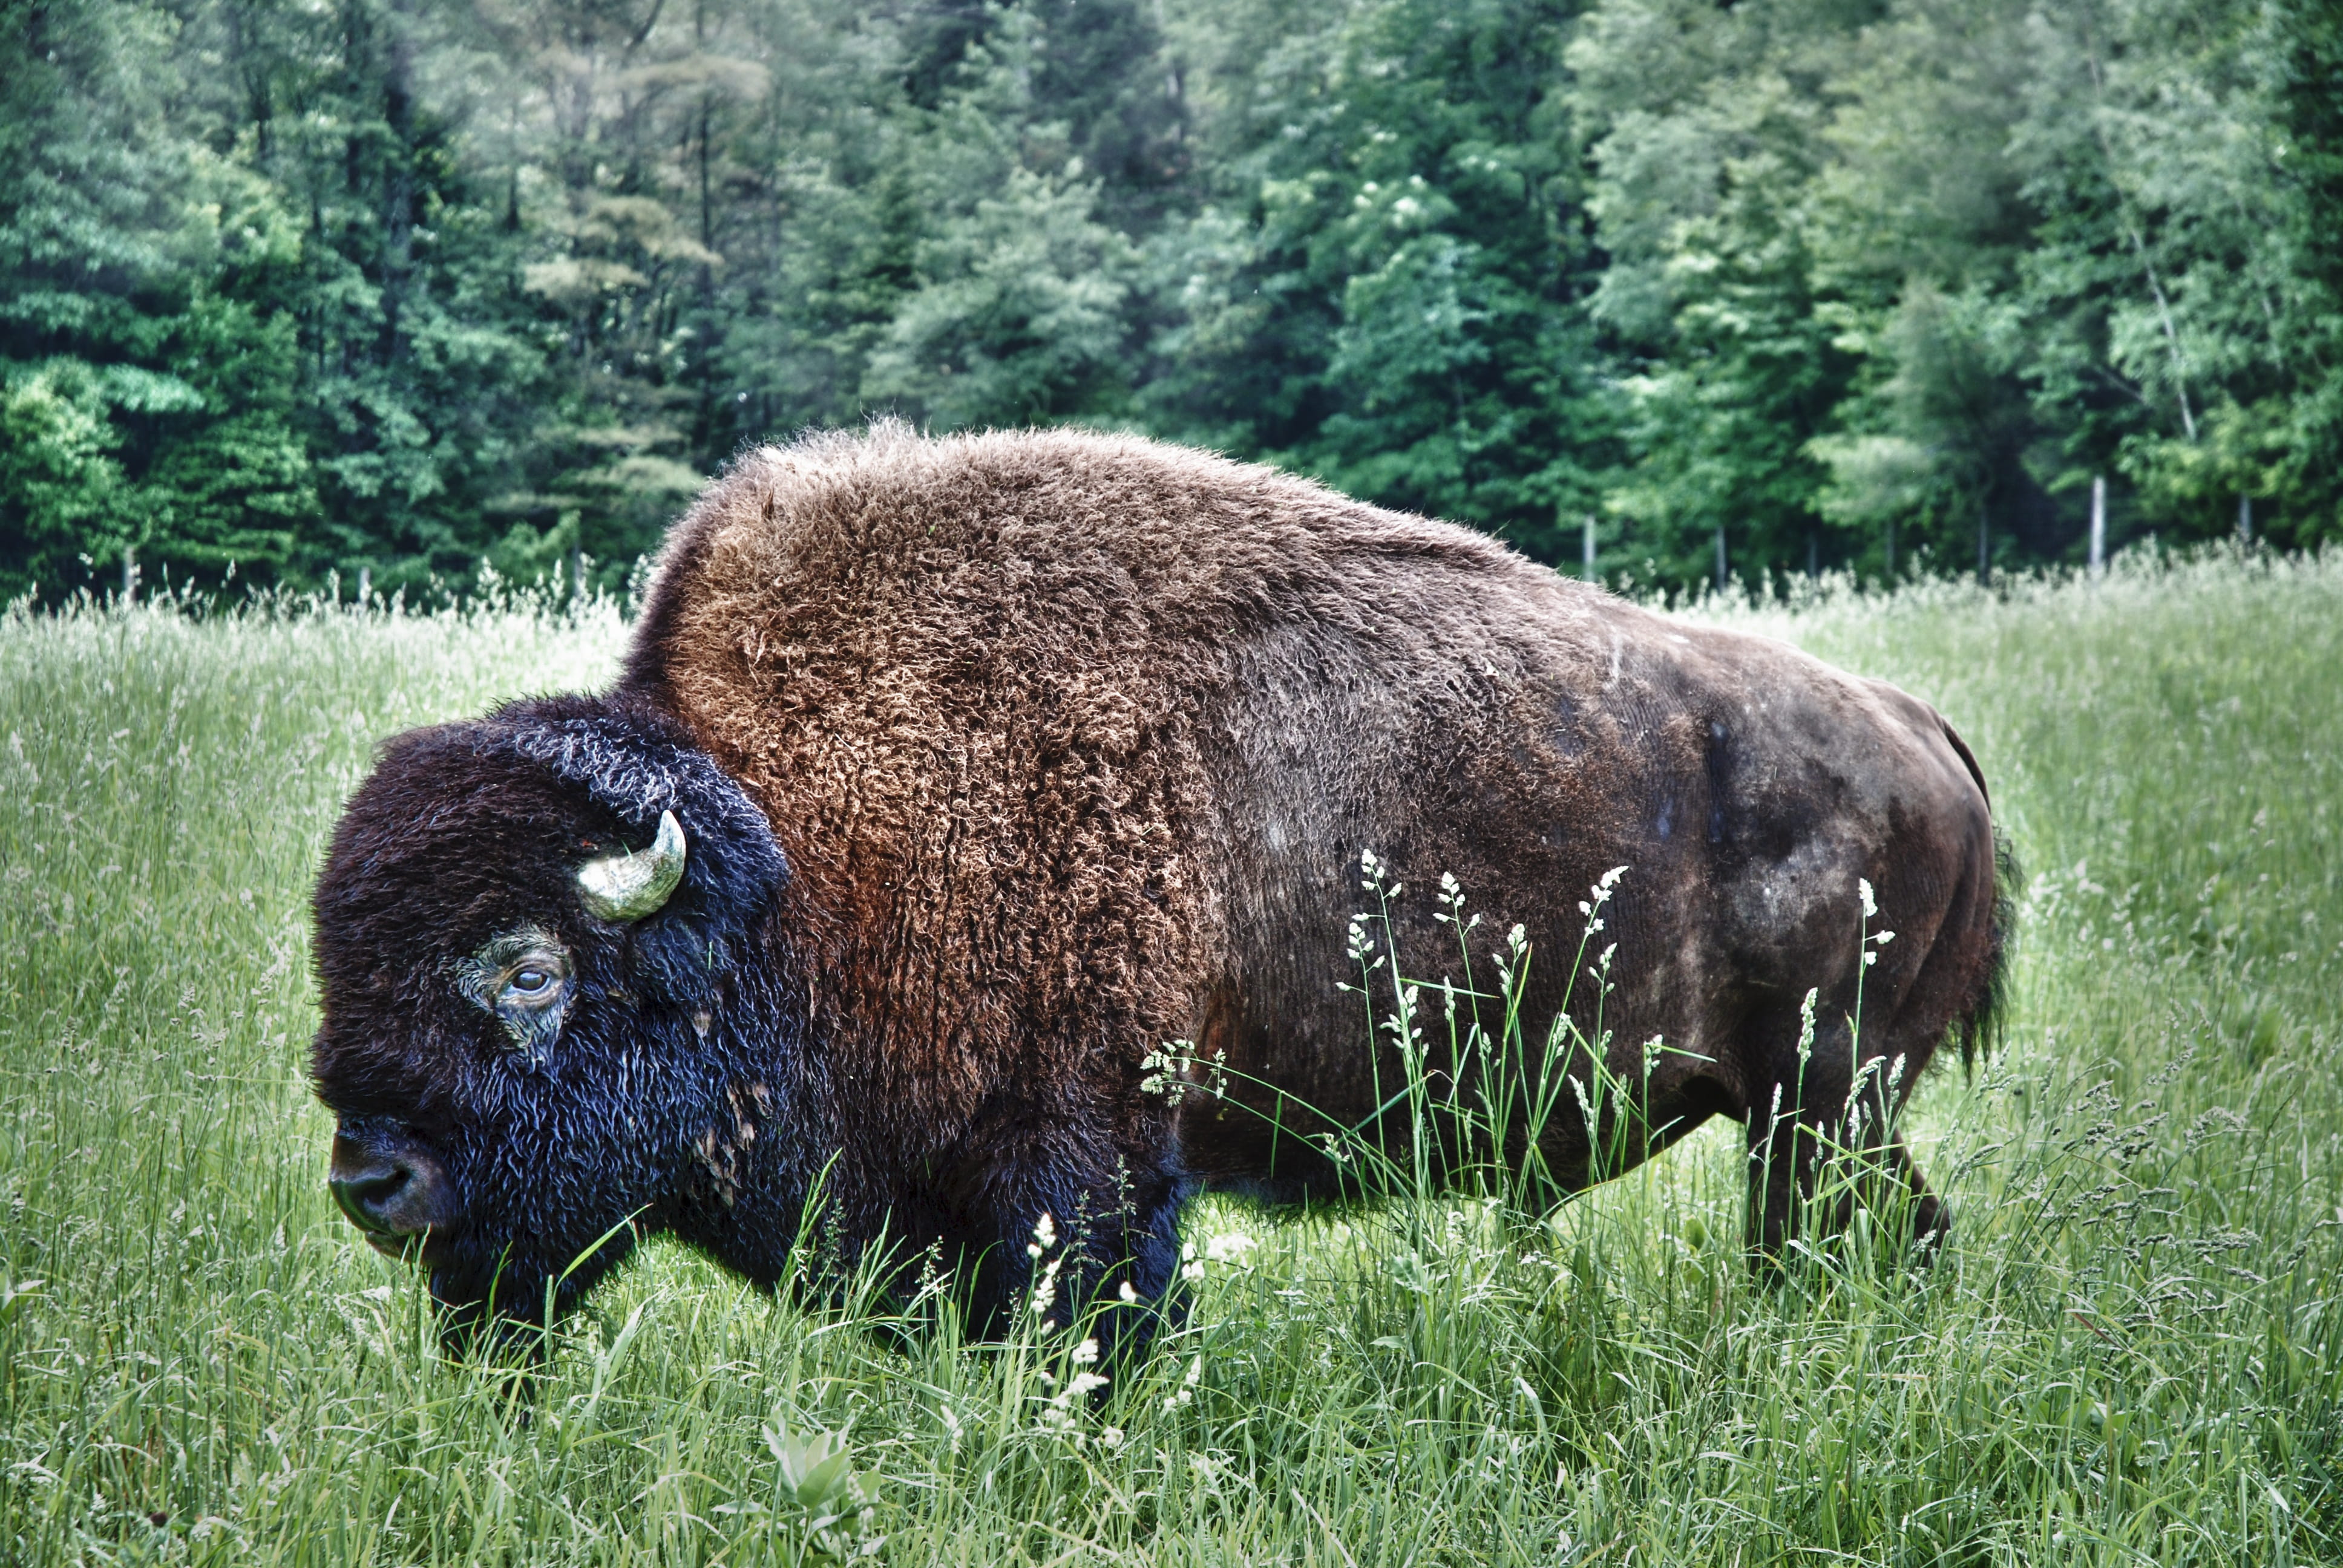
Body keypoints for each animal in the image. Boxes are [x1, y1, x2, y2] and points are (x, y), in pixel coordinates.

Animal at [313, 424, 2008, 1351]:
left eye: (527, 965)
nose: (369, 1184)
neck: (793, 861)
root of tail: (1922, 734)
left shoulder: (1083, 1161)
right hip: (1818, 1117)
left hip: (1817, 1108)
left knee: (1839, 1238)